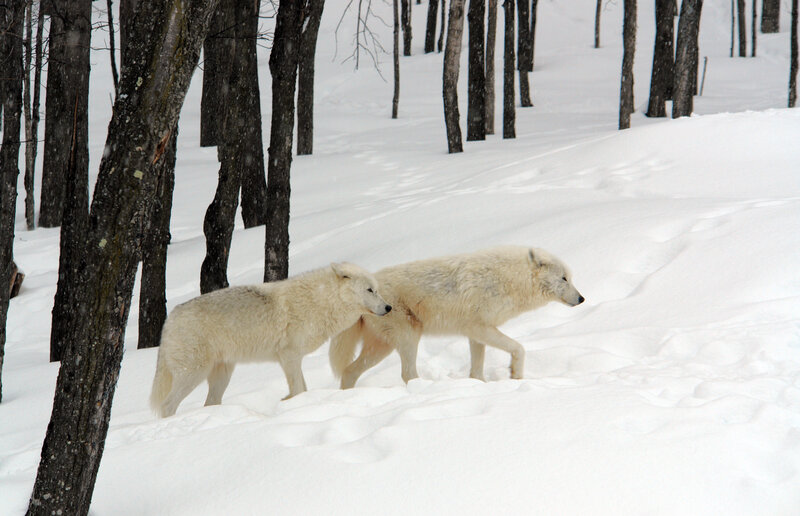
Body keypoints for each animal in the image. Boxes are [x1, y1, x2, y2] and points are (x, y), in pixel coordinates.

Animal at [150, 262, 391, 417]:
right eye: (370, 290)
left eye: (377, 290)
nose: (389, 307)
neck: (320, 302)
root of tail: (170, 319)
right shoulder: (289, 357)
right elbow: (299, 389)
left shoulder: (293, 359)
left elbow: (301, 389)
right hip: (193, 374)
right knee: (167, 406)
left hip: (222, 375)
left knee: (209, 403)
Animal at [329, 246, 584, 388]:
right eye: (564, 279)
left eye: (570, 278)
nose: (582, 299)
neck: (508, 279)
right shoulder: (480, 328)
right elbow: (519, 348)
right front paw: (516, 375)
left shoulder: (476, 334)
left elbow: (477, 369)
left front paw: (480, 385)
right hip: (408, 338)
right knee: (407, 374)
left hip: (382, 348)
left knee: (349, 372)